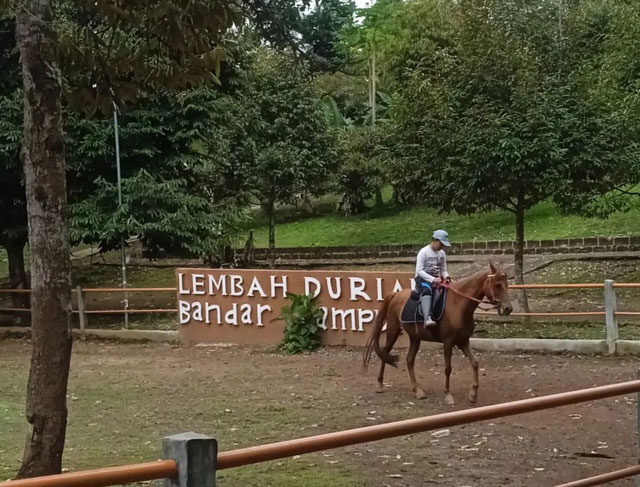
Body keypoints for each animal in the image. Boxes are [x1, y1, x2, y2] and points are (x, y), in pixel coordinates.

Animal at [362, 264, 512, 406]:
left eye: (506, 284)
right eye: (497, 284)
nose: (508, 309)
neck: (458, 304)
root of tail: (395, 295)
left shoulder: (463, 341)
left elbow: (475, 363)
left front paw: (473, 394)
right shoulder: (448, 342)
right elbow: (448, 369)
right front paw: (448, 395)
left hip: (415, 338)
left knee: (409, 360)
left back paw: (418, 391)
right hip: (393, 331)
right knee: (385, 353)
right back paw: (380, 385)